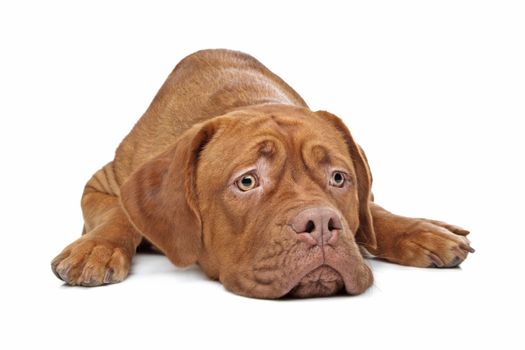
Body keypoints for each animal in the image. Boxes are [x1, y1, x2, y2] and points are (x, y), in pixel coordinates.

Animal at [51, 49, 472, 298]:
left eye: (338, 177)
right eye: (247, 182)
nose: (321, 224)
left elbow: (372, 210)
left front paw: (421, 231)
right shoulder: (102, 184)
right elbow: (120, 212)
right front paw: (96, 248)